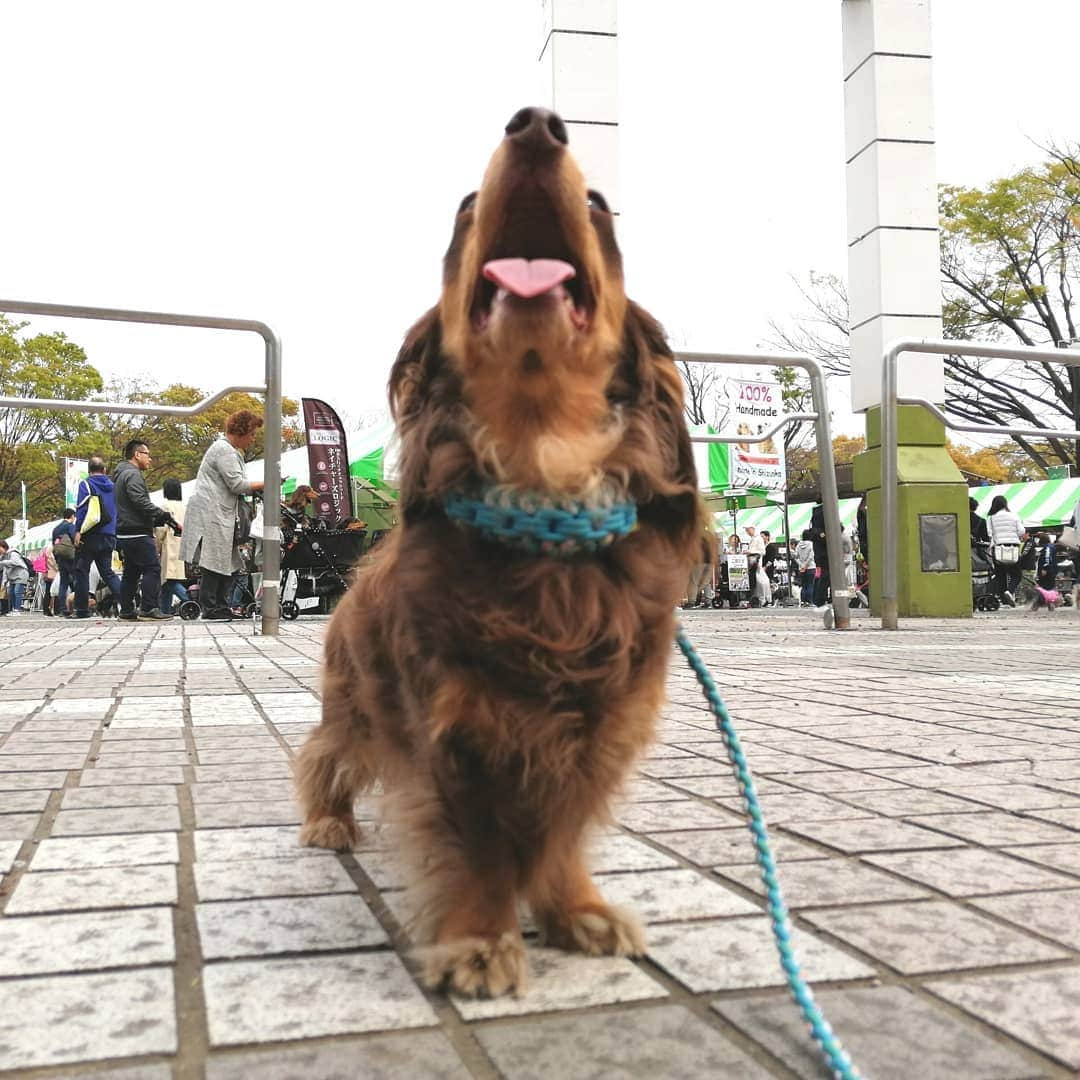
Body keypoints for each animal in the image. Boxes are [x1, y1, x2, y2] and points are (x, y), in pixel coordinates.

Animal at [295, 107, 699, 993]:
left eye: (601, 205)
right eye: (464, 205)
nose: (538, 125)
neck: (543, 485)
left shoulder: (603, 726)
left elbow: (561, 831)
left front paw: (575, 909)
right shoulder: (454, 728)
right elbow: (479, 845)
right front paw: (480, 940)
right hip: (355, 701)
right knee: (326, 753)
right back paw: (326, 821)